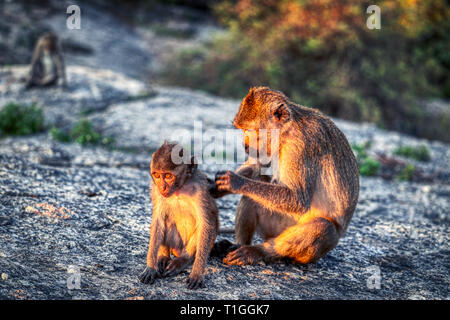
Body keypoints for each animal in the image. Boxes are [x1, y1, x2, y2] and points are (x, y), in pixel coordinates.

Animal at [140, 141, 219, 288]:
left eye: (168, 176)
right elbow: (158, 220)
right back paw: (163, 256)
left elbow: (206, 224)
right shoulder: (155, 191)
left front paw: (197, 273)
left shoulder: (199, 187)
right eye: (157, 175)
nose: (163, 187)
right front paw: (151, 267)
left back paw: (184, 260)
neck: (179, 189)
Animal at [214, 87, 358, 264]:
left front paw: (235, 182)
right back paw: (237, 245)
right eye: (242, 130)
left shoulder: (300, 147)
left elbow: (298, 199)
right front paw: (216, 188)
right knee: (254, 192)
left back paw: (258, 251)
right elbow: (258, 166)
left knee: (324, 227)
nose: (245, 145)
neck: (286, 132)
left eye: (251, 130)